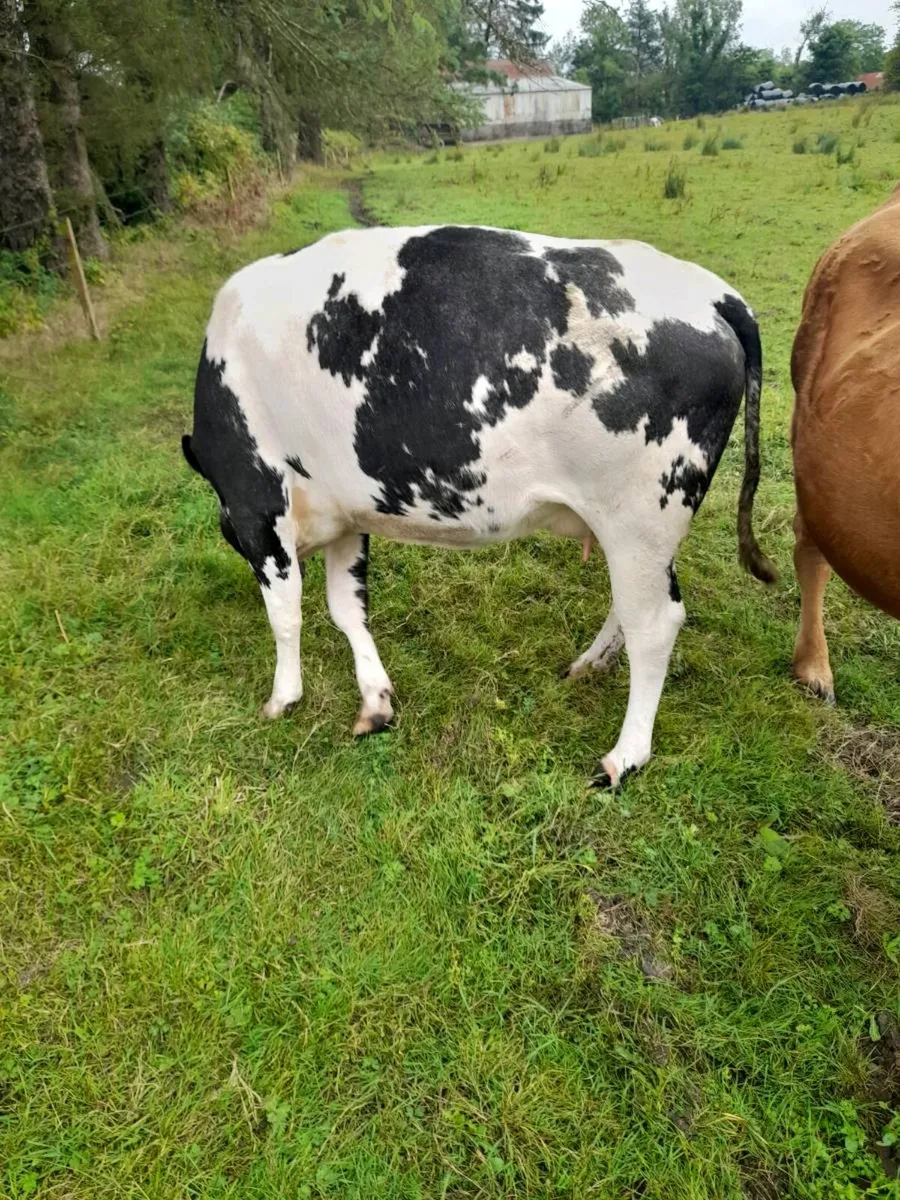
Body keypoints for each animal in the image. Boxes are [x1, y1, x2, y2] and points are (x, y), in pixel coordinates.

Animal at [182, 225, 775, 787]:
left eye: (228, 525)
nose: (223, 528)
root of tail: (716, 294)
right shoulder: (347, 512)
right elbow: (347, 608)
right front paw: (375, 701)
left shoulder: (255, 498)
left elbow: (285, 612)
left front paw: (282, 698)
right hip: (638, 530)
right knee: (632, 608)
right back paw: (589, 666)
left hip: (643, 516)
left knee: (655, 624)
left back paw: (624, 757)